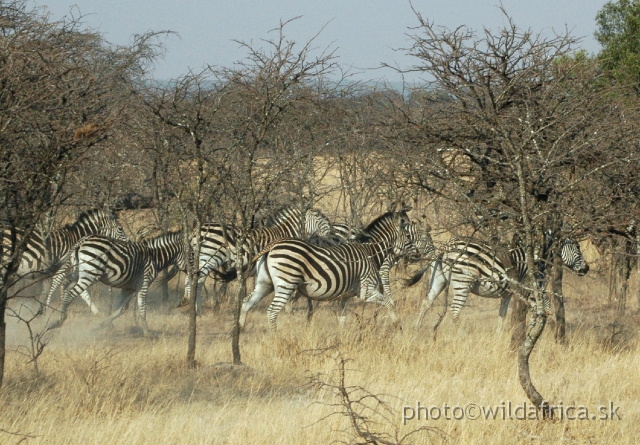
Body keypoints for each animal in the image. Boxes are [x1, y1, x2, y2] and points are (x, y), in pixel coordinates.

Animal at [46, 231, 189, 332]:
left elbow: (120, 309)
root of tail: (82, 240)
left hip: (77, 272)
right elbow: (142, 308)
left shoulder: (128, 288)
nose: (192, 273)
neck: (155, 257)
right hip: (90, 274)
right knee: (70, 293)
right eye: (191, 255)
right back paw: (59, 321)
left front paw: (103, 325)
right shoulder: (143, 283)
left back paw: (56, 316)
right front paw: (147, 332)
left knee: (65, 287)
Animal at [185, 206, 332, 310]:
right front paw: (288, 309)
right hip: (209, 257)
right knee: (198, 279)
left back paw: (190, 303)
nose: (330, 230)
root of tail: (197, 230)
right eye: (318, 217)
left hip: (201, 257)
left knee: (191, 276)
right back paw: (197, 309)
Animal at [232, 208, 418, 330]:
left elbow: (341, 319)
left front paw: (341, 340)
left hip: (265, 283)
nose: (417, 254)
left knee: (246, 301)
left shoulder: (345, 296)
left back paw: (240, 331)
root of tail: (272, 246)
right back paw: (275, 337)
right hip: (286, 284)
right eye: (408, 236)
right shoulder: (366, 291)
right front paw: (397, 326)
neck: (370, 253)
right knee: (272, 311)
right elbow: (389, 303)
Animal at [408, 236, 588, 330]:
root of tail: (445, 247)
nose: (587, 269)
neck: (536, 258)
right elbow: (542, 311)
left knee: (426, 302)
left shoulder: (507, 293)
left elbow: (502, 314)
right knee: (455, 311)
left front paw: (499, 337)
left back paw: (417, 329)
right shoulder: (533, 287)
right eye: (578, 248)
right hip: (463, 281)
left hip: (439, 279)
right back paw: (461, 334)